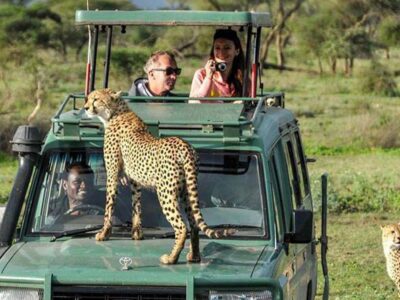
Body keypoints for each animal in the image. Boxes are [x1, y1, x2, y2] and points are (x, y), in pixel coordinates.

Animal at [84, 88, 234, 264]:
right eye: (89, 98)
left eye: (96, 99)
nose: (85, 107)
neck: (116, 112)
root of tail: (185, 146)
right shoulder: (135, 180)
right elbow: (136, 205)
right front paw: (137, 234)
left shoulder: (112, 174)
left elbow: (109, 204)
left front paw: (103, 234)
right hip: (187, 191)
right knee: (194, 223)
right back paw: (194, 256)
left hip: (165, 192)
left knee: (181, 226)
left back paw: (171, 258)